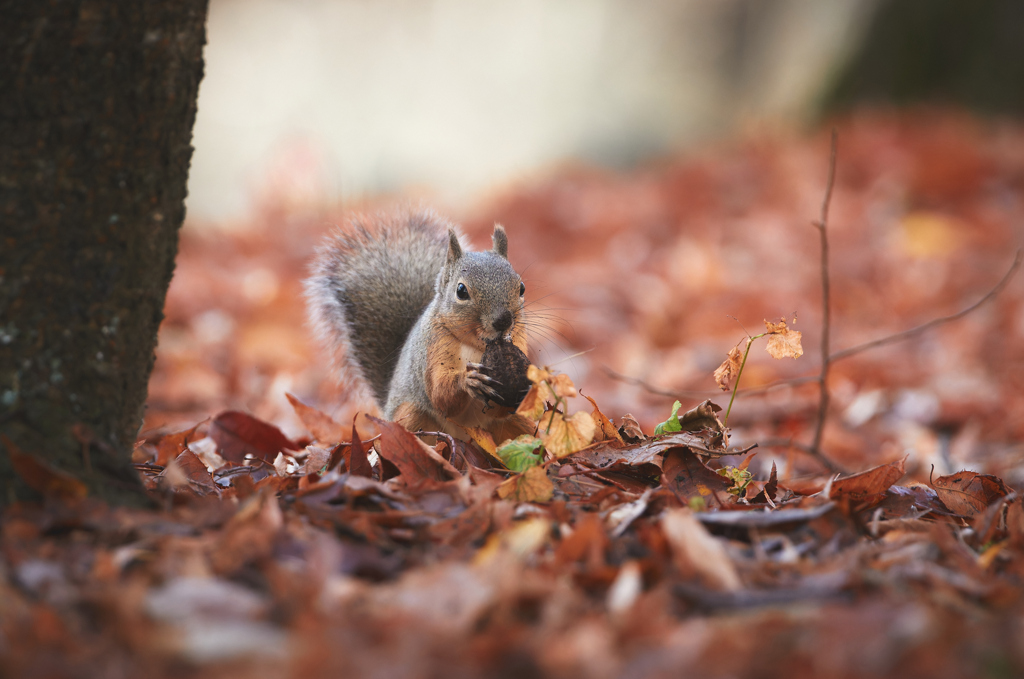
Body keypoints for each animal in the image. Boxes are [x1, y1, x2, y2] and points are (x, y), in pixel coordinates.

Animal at [303, 208, 536, 440]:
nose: (503, 321)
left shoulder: (518, 340)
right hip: (411, 415)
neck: (478, 346)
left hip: (518, 425)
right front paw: (468, 379)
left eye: (522, 288)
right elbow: (441, 396)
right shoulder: (432, 348)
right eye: (461, 291)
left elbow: (502, 406)